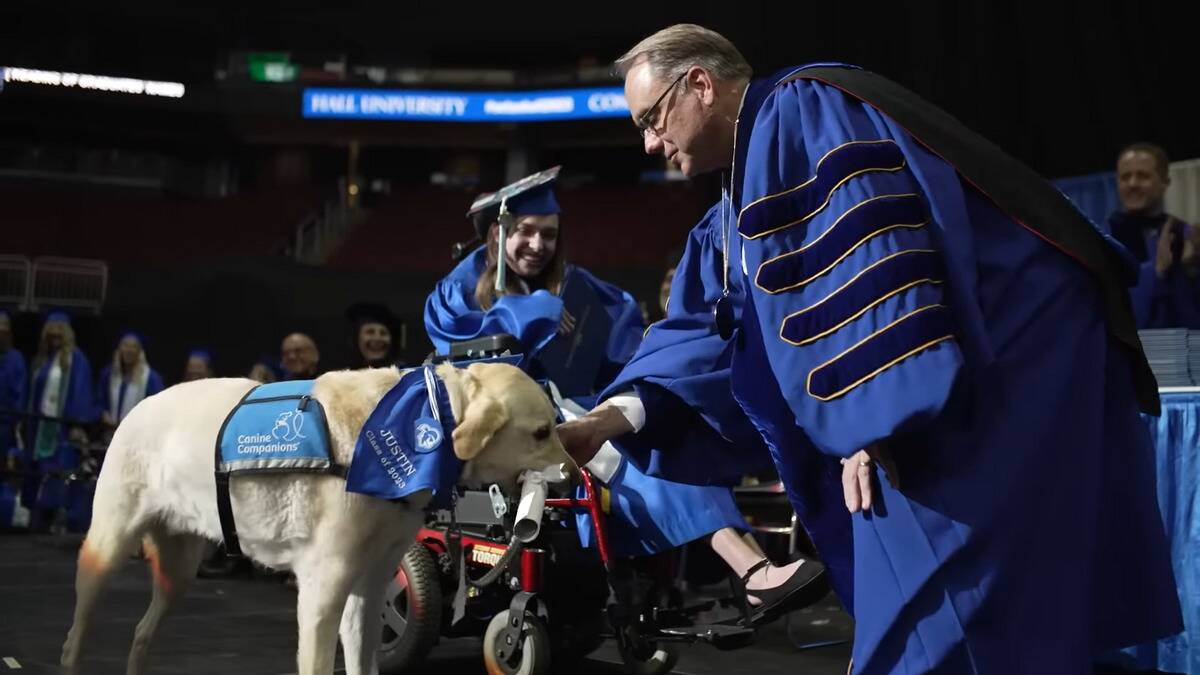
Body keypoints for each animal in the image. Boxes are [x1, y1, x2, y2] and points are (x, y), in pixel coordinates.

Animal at [58, 362, 573, 672]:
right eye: (541, 432)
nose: (575, 474)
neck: (425, 418)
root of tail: (139, 405)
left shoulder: (369, 588)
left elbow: (364, 660)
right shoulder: (323, 590)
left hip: (178, 572)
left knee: (142, 632)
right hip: (106, 549)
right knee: (77, 630)